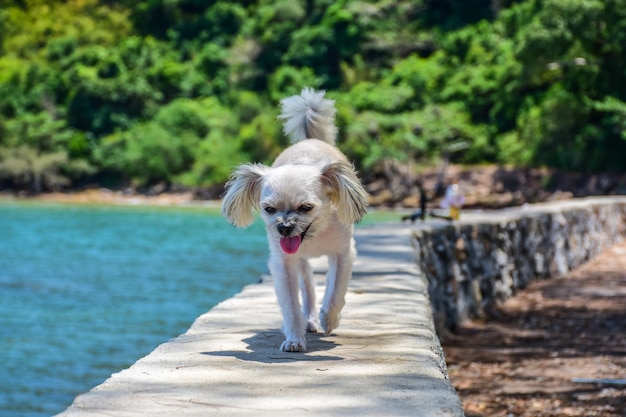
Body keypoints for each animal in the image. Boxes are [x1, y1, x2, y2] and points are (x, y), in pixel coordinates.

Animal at [221, 88, 366, 352]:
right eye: (269, 209)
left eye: (306, 208)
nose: (284, 227)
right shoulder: (284, 263)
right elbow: (290, 304)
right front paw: (294, 338)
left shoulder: (343, 254)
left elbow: (336, 291)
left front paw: (330, 319)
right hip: (299, 261)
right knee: (307, 284)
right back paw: (308, 319)